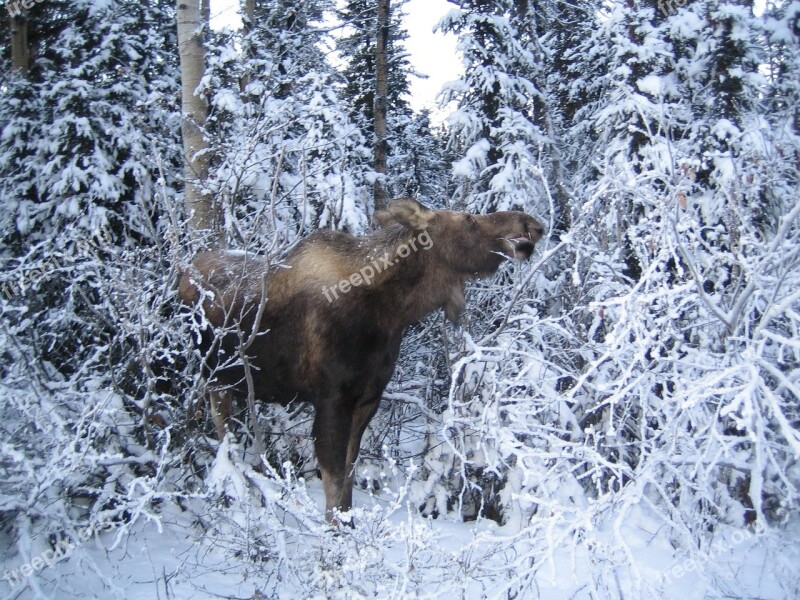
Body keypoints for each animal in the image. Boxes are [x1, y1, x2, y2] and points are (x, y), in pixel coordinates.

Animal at [180, 198, 544, 520]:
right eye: (468, 218)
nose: (533, 224)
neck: (394, 313)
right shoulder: (332, 399)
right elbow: (333, 478)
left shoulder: (368, 399)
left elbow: (350, 476)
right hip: (214, 378)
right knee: (222, 433)